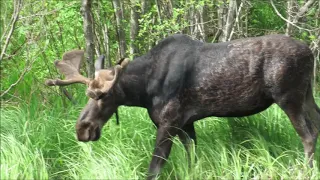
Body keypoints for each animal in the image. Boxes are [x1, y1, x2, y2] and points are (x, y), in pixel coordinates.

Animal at [45, 34, 320, 179]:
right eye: (88, 95)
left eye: (104, 95)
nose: (82, 128)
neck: (143, 90)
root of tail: (310, 53)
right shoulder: (186, 123)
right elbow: (191, 157)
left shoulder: (169, 122)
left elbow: (154, 167)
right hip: (307, 95)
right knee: (316, 127)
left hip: (289, 98)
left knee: (307, 136)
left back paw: (305, 171)